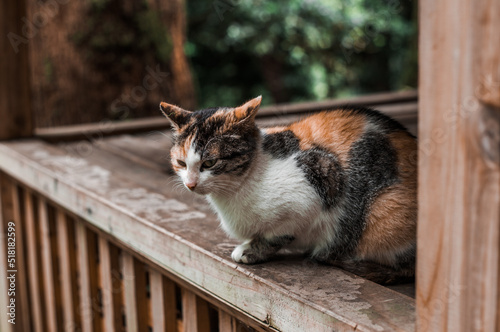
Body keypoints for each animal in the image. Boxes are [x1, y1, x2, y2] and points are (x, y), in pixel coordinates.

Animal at [160, 96, 418, 286]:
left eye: (209, 163)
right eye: (181, 163)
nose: (190, 184)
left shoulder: (320, 180)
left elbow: (279, 232)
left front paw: (251, 250)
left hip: (386, 209)